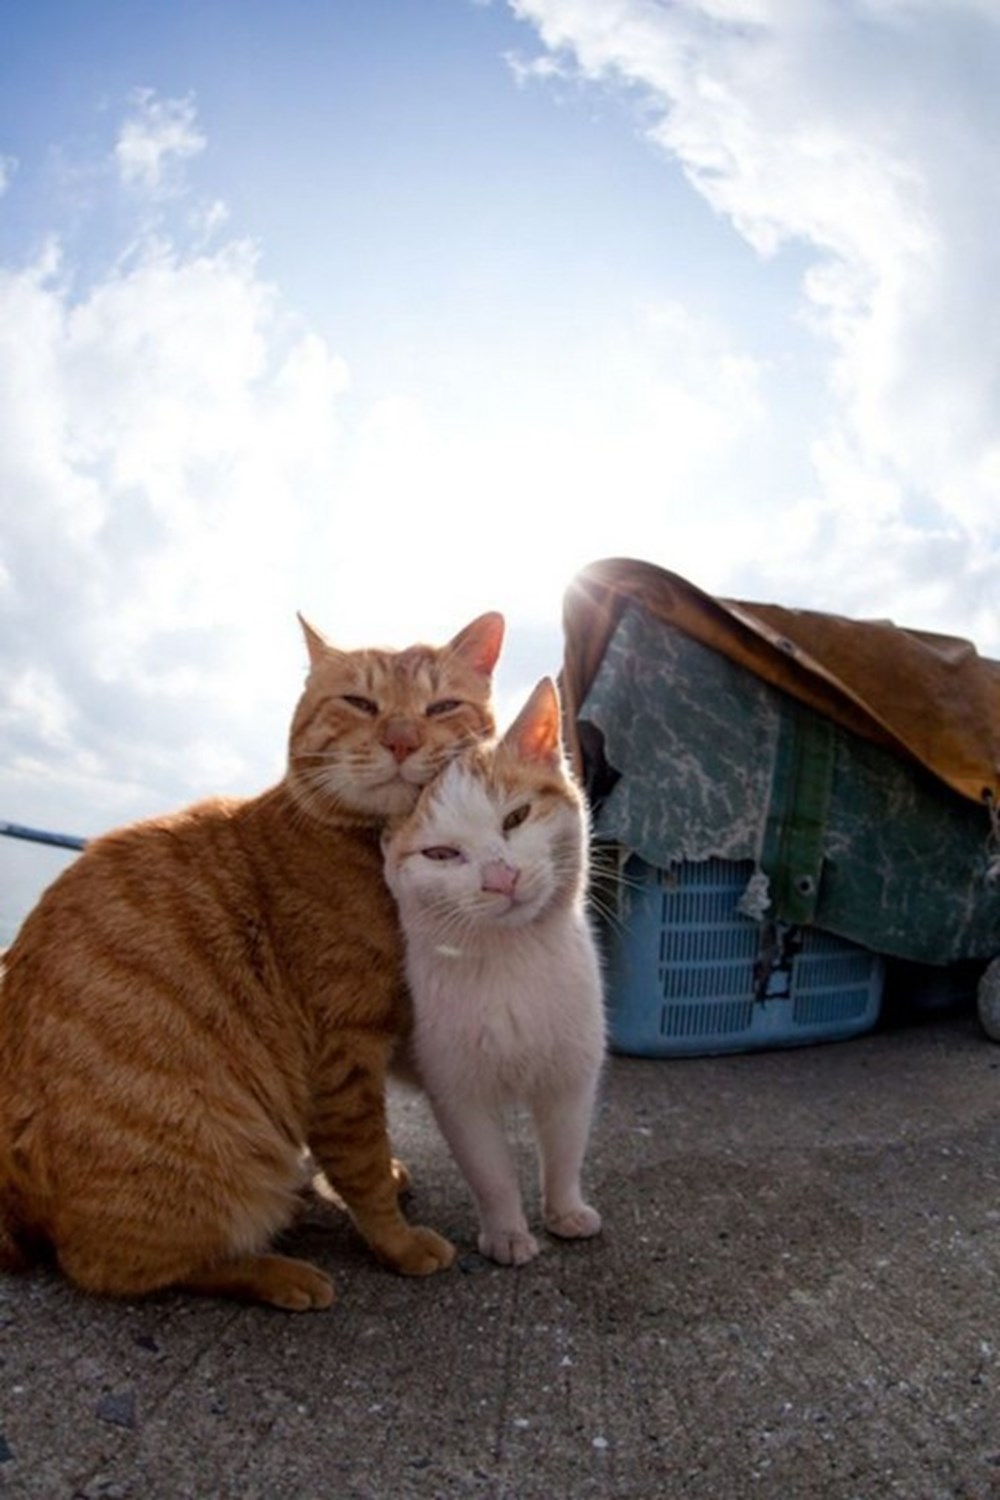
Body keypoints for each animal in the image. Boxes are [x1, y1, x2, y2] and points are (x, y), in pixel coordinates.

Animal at [0, 609, 500, 1314]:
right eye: (361, 703)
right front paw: (398, 1243)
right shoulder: (343, 1050)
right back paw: (278, 1272)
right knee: (116, 1267)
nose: (401, 740)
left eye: (442, 706)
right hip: (215, 1162)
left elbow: (368, 1153)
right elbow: (362, 1162)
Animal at [383, 681, 605, 1266]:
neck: (513, 958)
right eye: (441, 853)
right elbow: (491, 1170)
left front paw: (565, 1210)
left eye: (516, 817)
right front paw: (506, 1232)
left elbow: (567, 1145)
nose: (500, 877)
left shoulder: (572, 1070)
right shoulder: (458, 1092)